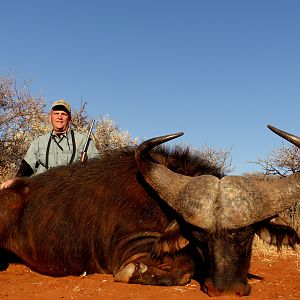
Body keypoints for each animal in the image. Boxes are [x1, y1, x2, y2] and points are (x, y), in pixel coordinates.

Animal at [0, 125, 298, 296]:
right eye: (199, 239)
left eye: (246, 235)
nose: (225, 291)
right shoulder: (133, 247)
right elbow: (184, 267)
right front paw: (135, 272)